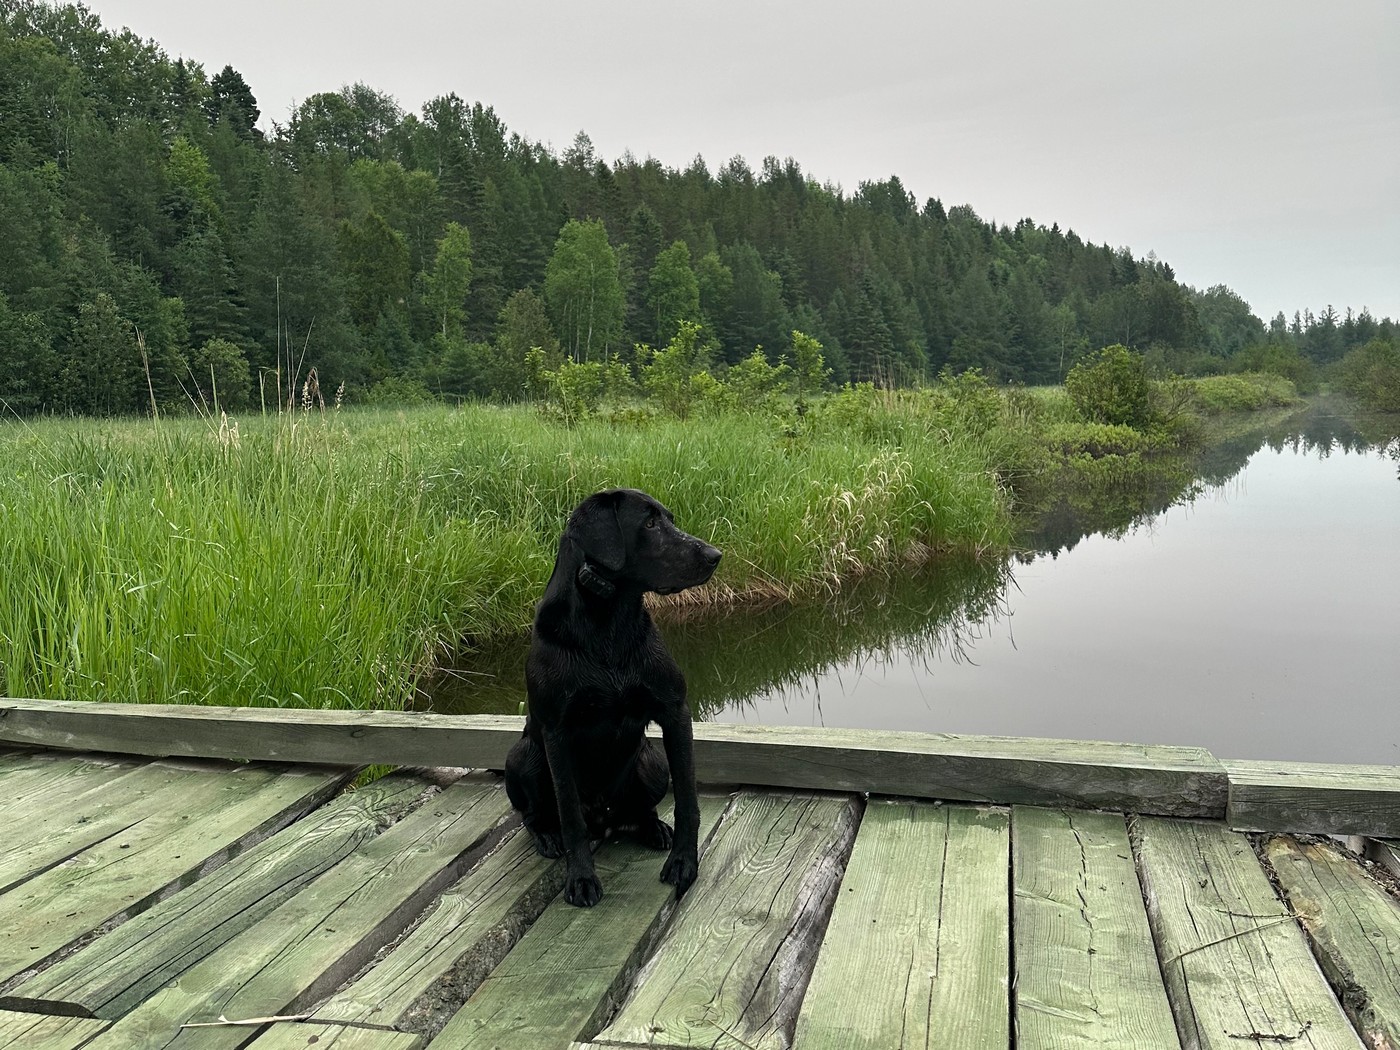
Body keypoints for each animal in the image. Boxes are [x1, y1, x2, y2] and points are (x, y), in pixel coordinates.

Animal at [504, 490, 722, 907]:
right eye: (649, 523)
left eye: (669, 519)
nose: (715, 554)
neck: (610, 625)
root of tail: (604, 819)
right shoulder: (556, 732)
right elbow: (569, 814)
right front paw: (581, 878)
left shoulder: (675, 711)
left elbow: (687, 800)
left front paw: (684, 862)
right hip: (523, 758)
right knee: (535, 816)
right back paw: (547, 837)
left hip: (652, 761)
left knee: (639, 811)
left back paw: (653, 828)